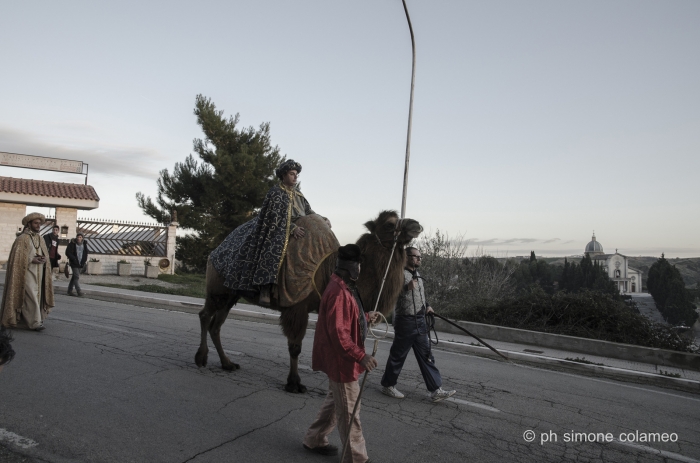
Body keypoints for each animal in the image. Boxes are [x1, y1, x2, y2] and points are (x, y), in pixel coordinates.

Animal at [194, 212, 422, 394]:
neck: (329, 270)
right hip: (217, 288)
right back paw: (201, 358)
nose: (416, 224)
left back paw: (227, 363)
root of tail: (215, 250)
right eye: (389, 224)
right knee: (205, 315)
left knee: (216, 326)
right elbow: (295, 347)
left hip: (231, 295)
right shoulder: (298, 307)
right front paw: (294, 384)